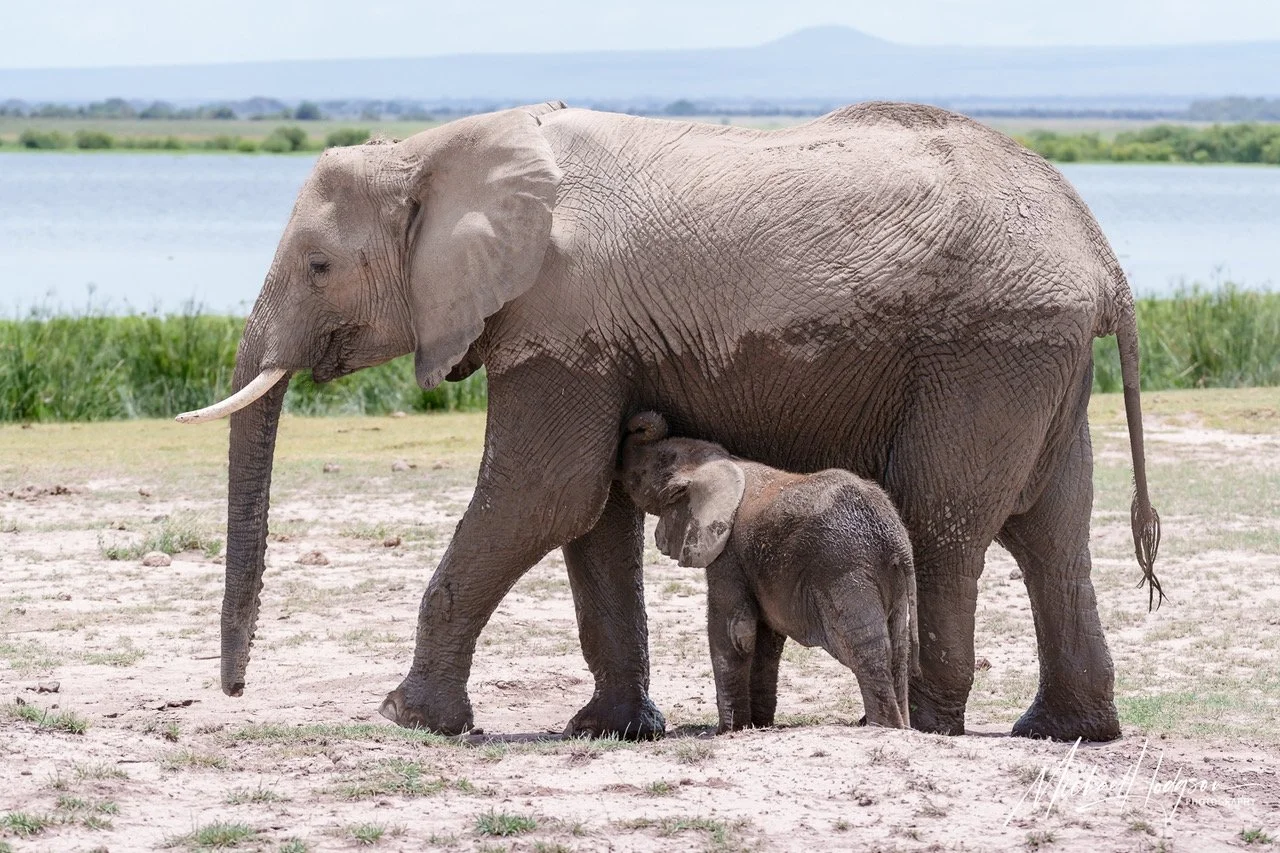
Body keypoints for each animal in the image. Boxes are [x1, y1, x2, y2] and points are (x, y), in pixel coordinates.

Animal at [617, 410, 918, 732]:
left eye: (639, 477)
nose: (639, 421)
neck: (720, 462)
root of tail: (898, 541)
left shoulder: (728, 552)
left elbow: (735, 629)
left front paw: (727, 731)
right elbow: (765, 640)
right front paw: (757, 725)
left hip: (845, 569)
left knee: (866, 649)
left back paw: (883, 727)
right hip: (891, 581)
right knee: (898, 651)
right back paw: (902, 727)